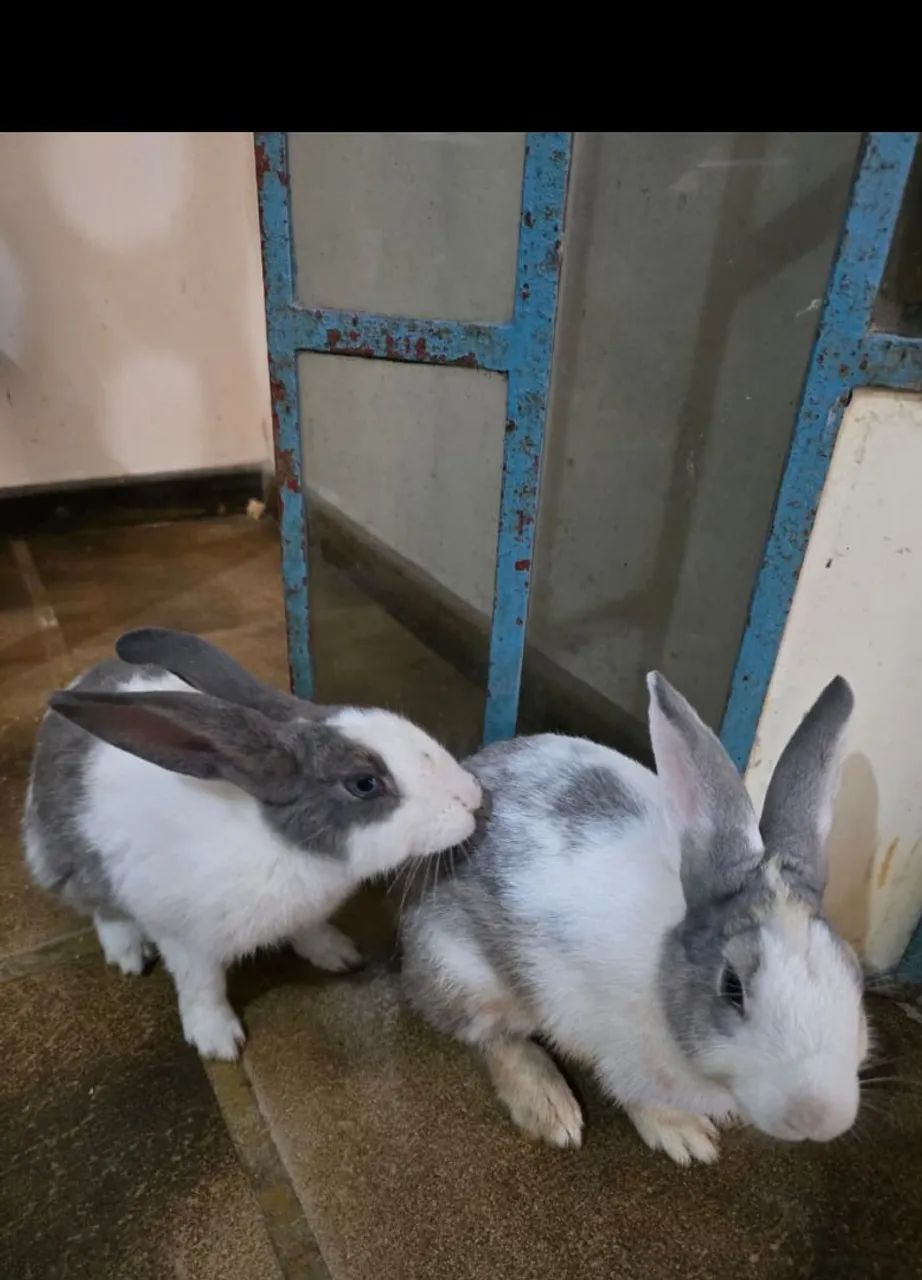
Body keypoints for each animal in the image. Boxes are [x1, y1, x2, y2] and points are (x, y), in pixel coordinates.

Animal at [23, 627, 483, 1061]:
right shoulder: (186, 939)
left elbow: (310, 932)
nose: (473, 797)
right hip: (70, 861)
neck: (283, 844)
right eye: (365, 784)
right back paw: (128, 954)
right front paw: (217, 1042)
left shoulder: (305, 915)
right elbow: (201, 988)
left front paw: (339, 955)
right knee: (100, 907)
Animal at [400, 671, 867, 1165]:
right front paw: (686, 1137)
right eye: (732, 988)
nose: (822, 1118)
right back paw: (550, 1109)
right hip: (462, 969)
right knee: (492, 1037)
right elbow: (640, 1095)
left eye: (854, 974)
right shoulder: (614, 1048)